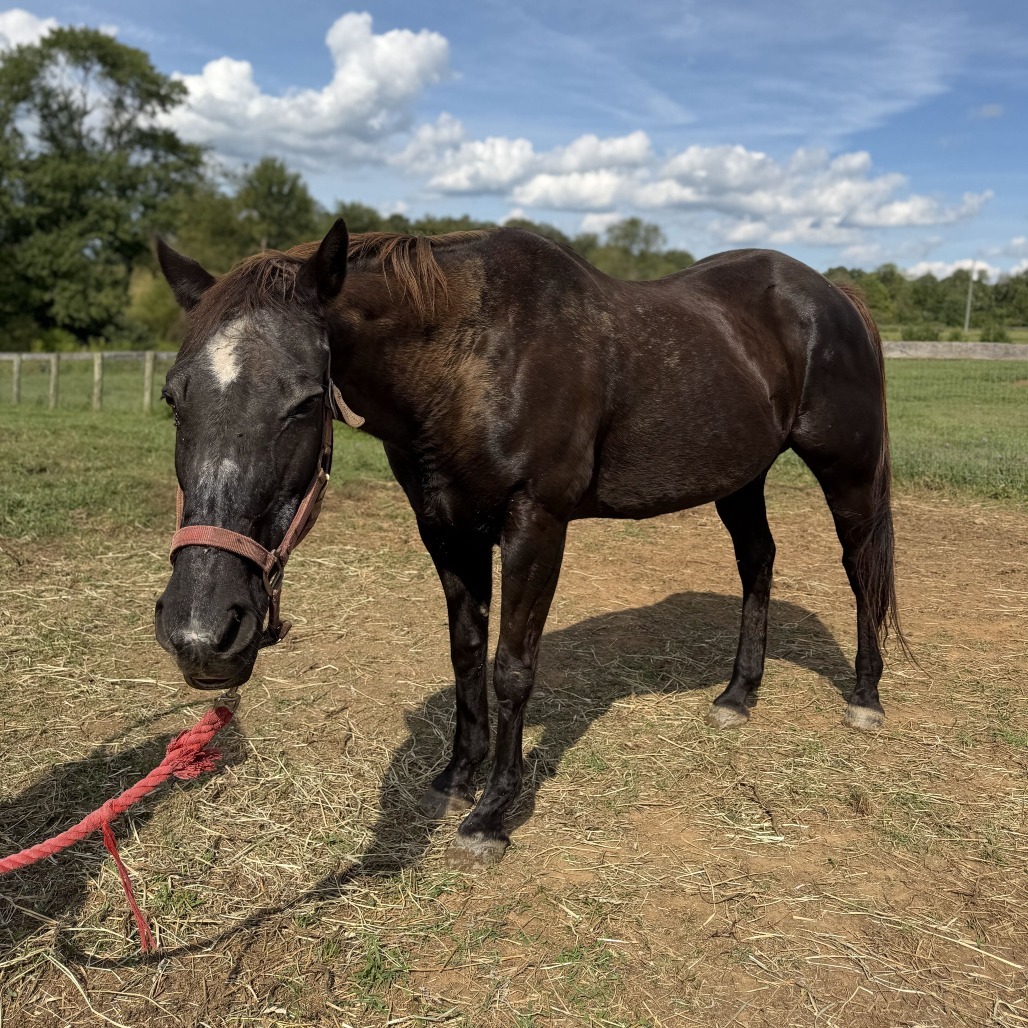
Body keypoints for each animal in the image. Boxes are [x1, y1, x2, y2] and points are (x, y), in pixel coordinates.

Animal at [154, 219, 904, 866]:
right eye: (172, 397)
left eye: (307, 400)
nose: (200, 633)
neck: (474, 355)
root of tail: (834, 294)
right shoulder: (445, 529)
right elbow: (466, 654)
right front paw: (458, 773)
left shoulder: (535, 525)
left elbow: (513, 667)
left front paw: (492, 813)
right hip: (740, 478)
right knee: (758, 563)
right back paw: (738, 694)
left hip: (848, 473)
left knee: (861, 570)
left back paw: (865, 697)